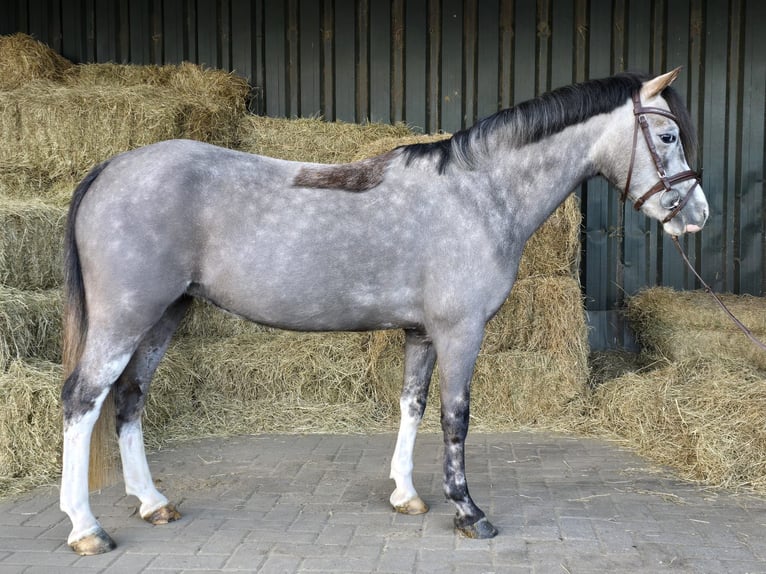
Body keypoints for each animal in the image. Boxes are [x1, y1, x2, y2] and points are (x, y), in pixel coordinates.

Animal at [58, 70, 708, 556]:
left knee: (130, 398)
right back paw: (86, 528)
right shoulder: (460, 332)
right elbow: (454, 419)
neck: (478, 193)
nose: (696, 215)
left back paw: (152, 503)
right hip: (124, 320)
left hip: (165, 316)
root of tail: (110, 168)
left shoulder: (422, 333)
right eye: (667, 137)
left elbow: (411, 407)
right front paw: (468, 512)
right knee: (82, 401)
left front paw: (406, 495)